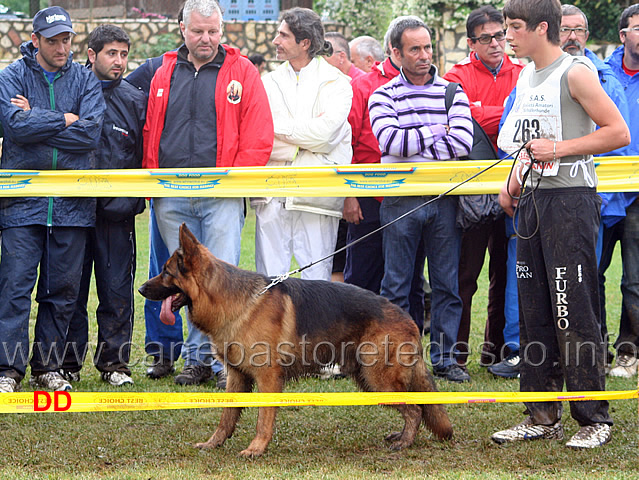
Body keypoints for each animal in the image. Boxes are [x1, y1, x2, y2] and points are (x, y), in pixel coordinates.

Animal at [139, 225, 456, 458]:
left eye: (166, 272)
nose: (140, 288)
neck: (234, 300)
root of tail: (410, 319)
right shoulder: (237, 377)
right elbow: (227, 417)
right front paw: (214, 443)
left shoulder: (268, 380)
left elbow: (263, 419)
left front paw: (256, 449)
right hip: (369, 381)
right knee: (415, 407)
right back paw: (401, 436)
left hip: (379, 381)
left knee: (416, 409)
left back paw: (405, 442)